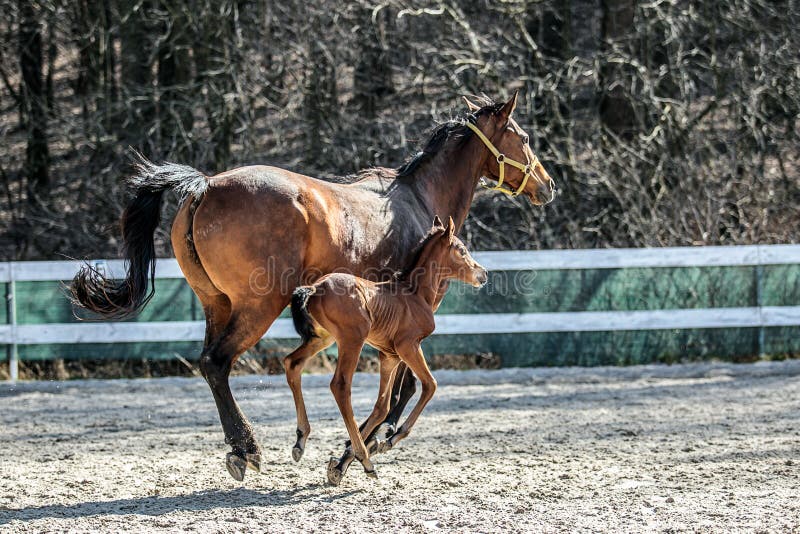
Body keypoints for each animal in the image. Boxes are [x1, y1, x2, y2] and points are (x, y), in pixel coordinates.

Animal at [290, 217, 488, 486]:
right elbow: (430, 385)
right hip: (352, 340)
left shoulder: (389, 357)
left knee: (292, 364)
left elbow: (382, 406)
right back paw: (366, 460)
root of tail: (314, 288)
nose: (483, 274)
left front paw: (341, 464)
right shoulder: (409, 346)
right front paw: (388, 440)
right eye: (461, 250)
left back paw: (301, 440)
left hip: (322, 338)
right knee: (340, 385)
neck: (415, 294)